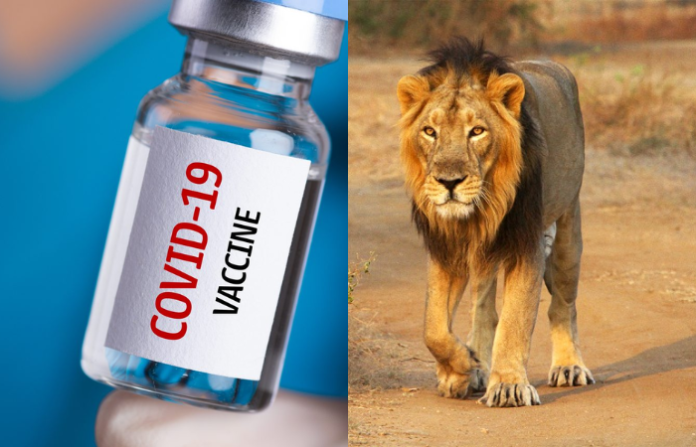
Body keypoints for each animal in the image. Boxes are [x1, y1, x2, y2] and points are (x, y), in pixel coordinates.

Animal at [396, 38, 594, 407]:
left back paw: (569, 365)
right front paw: (463, 367)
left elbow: (516, 319)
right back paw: (476, 365)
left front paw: (508, 385)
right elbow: (433, 327)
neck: (478, 212)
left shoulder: (527, 243)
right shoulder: (447, 247)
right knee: (484, 309)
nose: (449, 182)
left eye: (477, 132)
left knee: (563, 305)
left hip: (567, 228)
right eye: (430, 132)